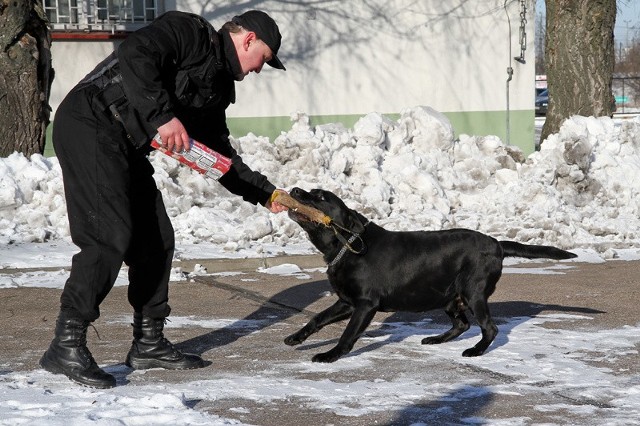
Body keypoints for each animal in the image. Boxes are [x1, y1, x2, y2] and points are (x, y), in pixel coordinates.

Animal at [282, 187, 576, 362]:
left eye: (320, 197)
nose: (294, 189)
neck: (347, 245)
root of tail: (498, 244)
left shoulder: (365, 304)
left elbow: (348, 334)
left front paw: (330, 355)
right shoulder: (346, 302)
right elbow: (317, 318)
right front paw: (297, 338)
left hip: (473, 292)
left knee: (489, 328)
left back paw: (475, 351)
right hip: (449, 296)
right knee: (462, 325)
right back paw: (435, 339)